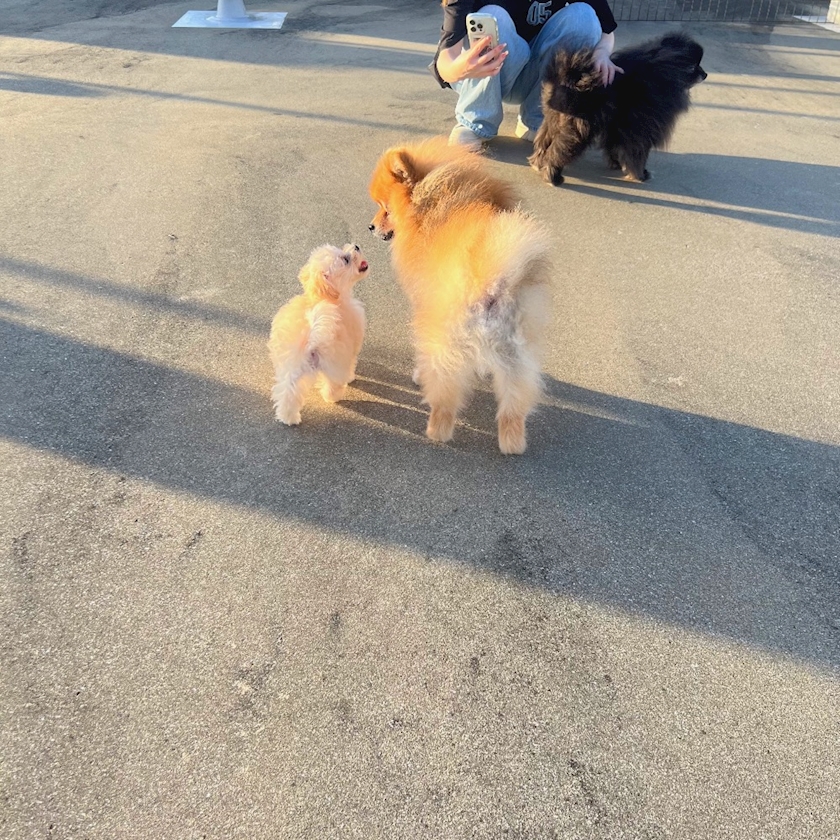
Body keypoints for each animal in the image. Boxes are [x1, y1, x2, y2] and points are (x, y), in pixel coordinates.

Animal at [267, 243, 368, 425]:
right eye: (346, 259)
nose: (356, 246)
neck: (322, 297)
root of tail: (311, 338)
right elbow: (352, 363)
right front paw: (352, 377)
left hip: (291, 368)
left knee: (287, 393)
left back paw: (288, 418)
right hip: (335, 365)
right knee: (333, 385)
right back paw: (333, 397)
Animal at [369, 137, 552, 455]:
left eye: (385, 210)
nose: (370, 226)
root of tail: (492, 281)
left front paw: (418, 373)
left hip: (448, 339)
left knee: (445, 393)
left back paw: (437, 431)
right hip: (514, 352)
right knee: (514, 402)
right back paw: (512, 443)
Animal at [529, 32, 707, 185]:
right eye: (693, 67)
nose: (705, 74)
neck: (662, 71)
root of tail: (571, 78)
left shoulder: (617, 127)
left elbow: (614, 146)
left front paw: (617, 164)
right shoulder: (642, 130)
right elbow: (638, 153)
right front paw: (640, 175)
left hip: (553, 119)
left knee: (544, 142)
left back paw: (537, 162)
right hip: (578, 129)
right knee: (558, 151)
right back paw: (552, 176)